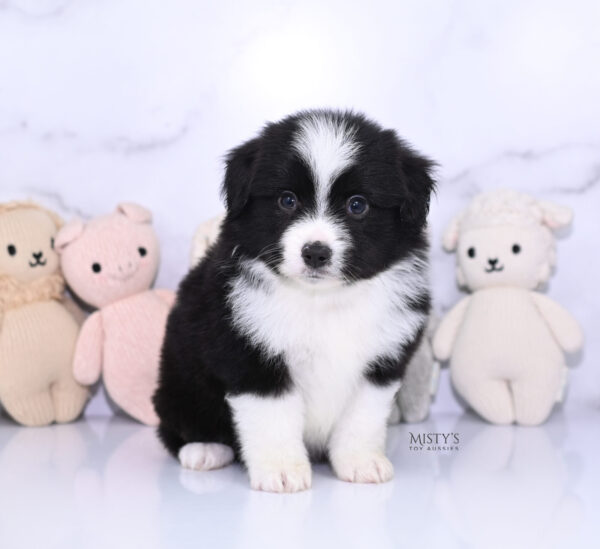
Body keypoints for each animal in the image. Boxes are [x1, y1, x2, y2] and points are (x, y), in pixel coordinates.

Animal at [154, 108, 436, 492]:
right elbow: (273, 417)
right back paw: (204, 449)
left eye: (357, 205)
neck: (323, 300)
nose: (315, 252)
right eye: (287, 200)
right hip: (181, 373)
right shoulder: (250, 354)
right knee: (176, 419)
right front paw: (282, 469)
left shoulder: (382, 362)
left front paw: (360, 462)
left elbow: (362, 416)